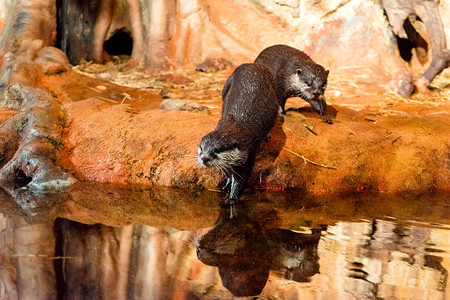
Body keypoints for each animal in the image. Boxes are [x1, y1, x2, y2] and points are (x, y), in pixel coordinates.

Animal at [197, 63, 278, 204]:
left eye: (217, 150)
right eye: (201, 148)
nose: (204, 158)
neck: (236, 124)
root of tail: (255, 65)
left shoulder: (249, 153)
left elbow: (241, 180)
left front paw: (231, 199)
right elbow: (228, 171)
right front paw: (228, 181)